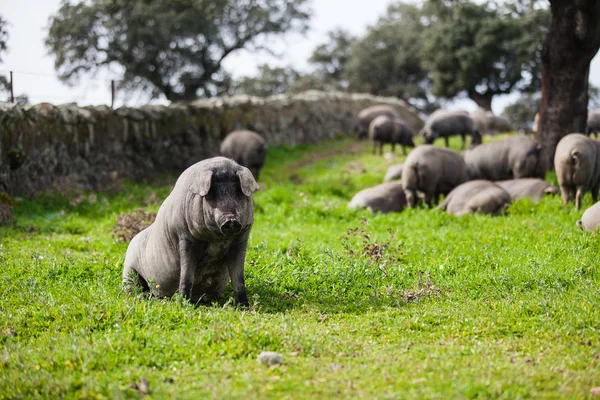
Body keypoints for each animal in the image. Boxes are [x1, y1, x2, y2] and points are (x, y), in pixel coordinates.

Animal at [122, 157, 260, 306]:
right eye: (211, 194)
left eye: (237, 191)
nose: (230, 220)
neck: (217, 240)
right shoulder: (185, 237)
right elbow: (187, 274)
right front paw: (184, 304)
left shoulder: (241, 239)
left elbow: (238, 277)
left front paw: (244, 306)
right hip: (129, 269)